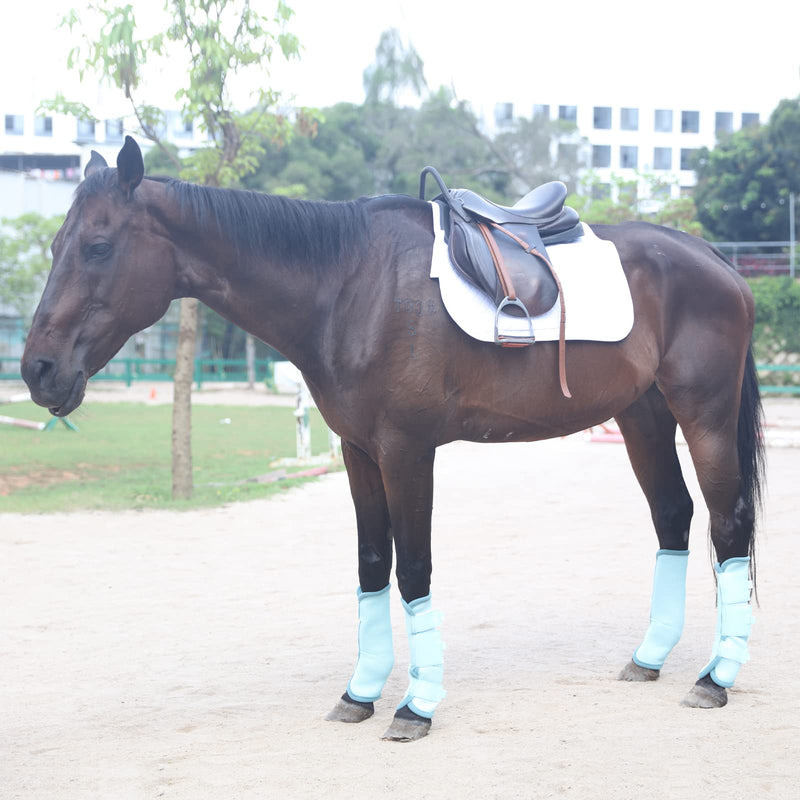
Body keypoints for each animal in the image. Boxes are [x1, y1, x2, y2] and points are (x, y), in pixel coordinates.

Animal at [21, 137, 764, 741]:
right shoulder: (359, 452)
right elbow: (372, 565)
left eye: (98, 246)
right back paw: (650, 658)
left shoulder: (408, 450)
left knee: (727, 524)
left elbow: (413, 570)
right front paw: (361, 693)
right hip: (644, 418)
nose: (37, 370)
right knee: (673, 517)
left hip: (703, 416)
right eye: (55, 247)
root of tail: (715, 261)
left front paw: (416, 705)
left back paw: (715, 677)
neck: (348, 285)